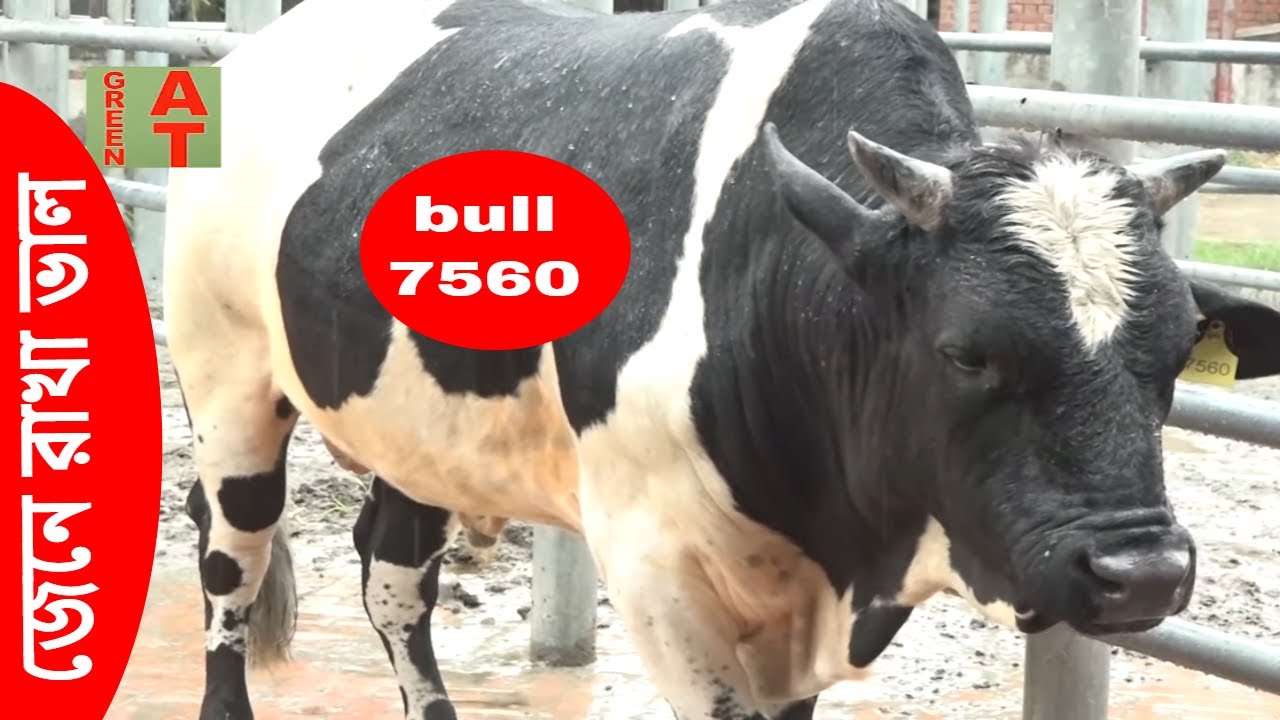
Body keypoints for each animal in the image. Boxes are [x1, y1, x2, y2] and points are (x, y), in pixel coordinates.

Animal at [161, 0, 1280, 718]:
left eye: (1174, 350)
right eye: (965, 351)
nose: (1140, 573)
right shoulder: (658, 576)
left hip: (416, 430)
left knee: (392, 575)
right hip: (228, 384)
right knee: (228, 558)